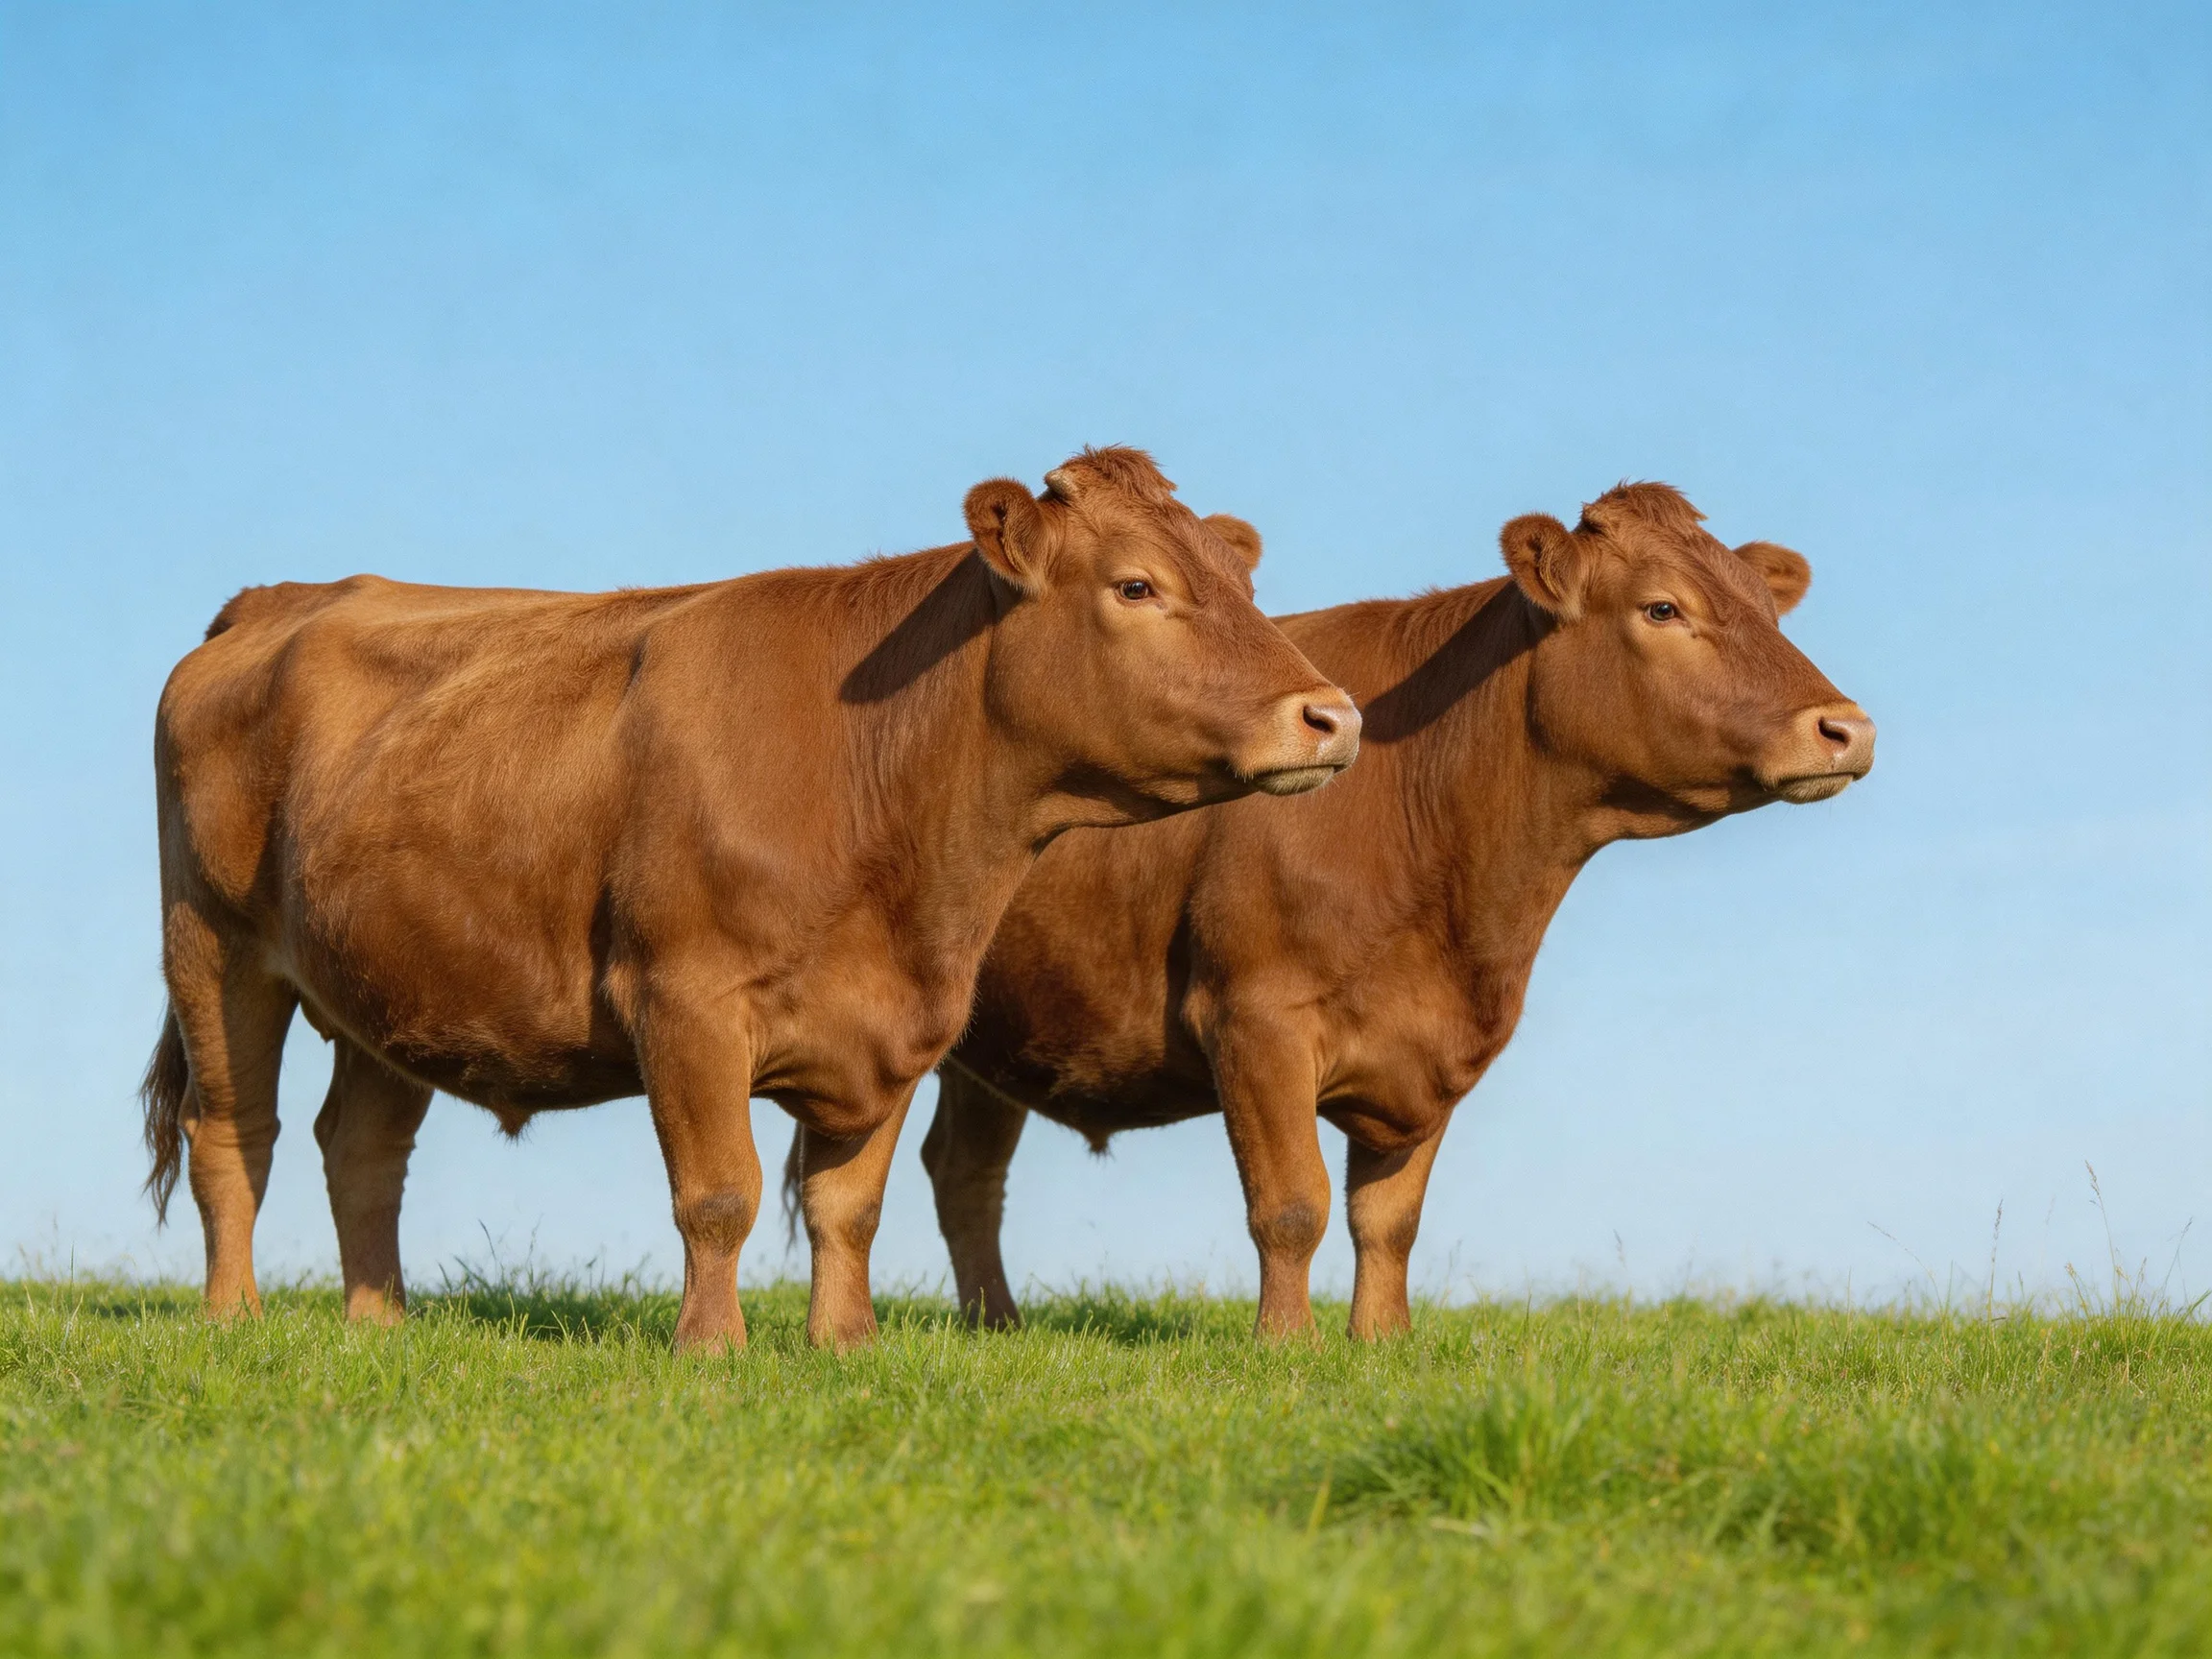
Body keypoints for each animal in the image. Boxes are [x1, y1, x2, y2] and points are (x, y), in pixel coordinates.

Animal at [140, 446, 1362, 1351]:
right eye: (1137, 585)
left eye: (1244, 587)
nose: (1333, 714)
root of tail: (279, 598)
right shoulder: (682, 1000)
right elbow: (717, 1191)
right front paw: (711, 1351)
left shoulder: (897, 1021)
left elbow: (847, 1203)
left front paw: (845, 1344)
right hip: (213, 946)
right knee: (234, 1129)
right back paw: (233, 1316)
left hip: (389, 981)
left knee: (360, 1145)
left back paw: (378, 1324)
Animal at [921, 482, 1875, 1339]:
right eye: (1664, 607)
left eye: (1770, 611)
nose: (1847, 729)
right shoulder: (1253, 1019)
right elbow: (1291, 1204)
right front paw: (1286, 1347)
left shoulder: (1435, 1044)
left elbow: (1389, 1220)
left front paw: (1381, 1342)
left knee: (964, 1172)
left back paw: (996, 1326)